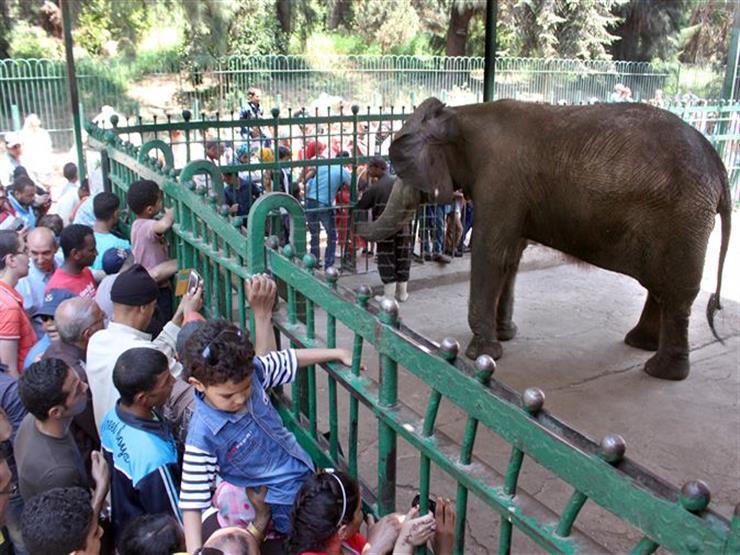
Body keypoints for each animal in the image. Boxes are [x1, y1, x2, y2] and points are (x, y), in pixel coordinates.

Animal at [356, 97, 732, 380]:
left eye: (405, 167)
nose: (364, 202)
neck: (462, 114)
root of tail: (718, 166)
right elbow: (510, 257)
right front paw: (505, 336)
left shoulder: (500, 181)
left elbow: (491, 253)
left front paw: (483, 354)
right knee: (662, 286)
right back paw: (641, 346)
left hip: (684, 217)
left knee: (677, 292)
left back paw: (662, 371)